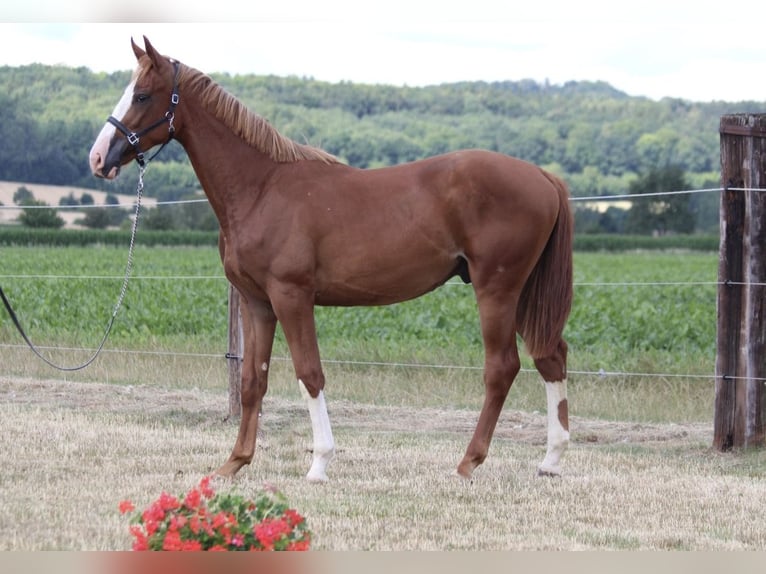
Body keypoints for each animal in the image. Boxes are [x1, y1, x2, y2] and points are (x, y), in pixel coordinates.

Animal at [89, 37, 574, 482]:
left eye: (142, 95)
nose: (97, 157)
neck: (261, 187)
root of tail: (543, 176)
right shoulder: (257, 303)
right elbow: (252, 381)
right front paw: (236, 462)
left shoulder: (292, 297)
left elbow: (309, 374)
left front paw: (320, 463)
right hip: (522, 293)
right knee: (551, 356)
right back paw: (550, 460)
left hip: (497, 290)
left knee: (502, 368)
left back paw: (469, 461)